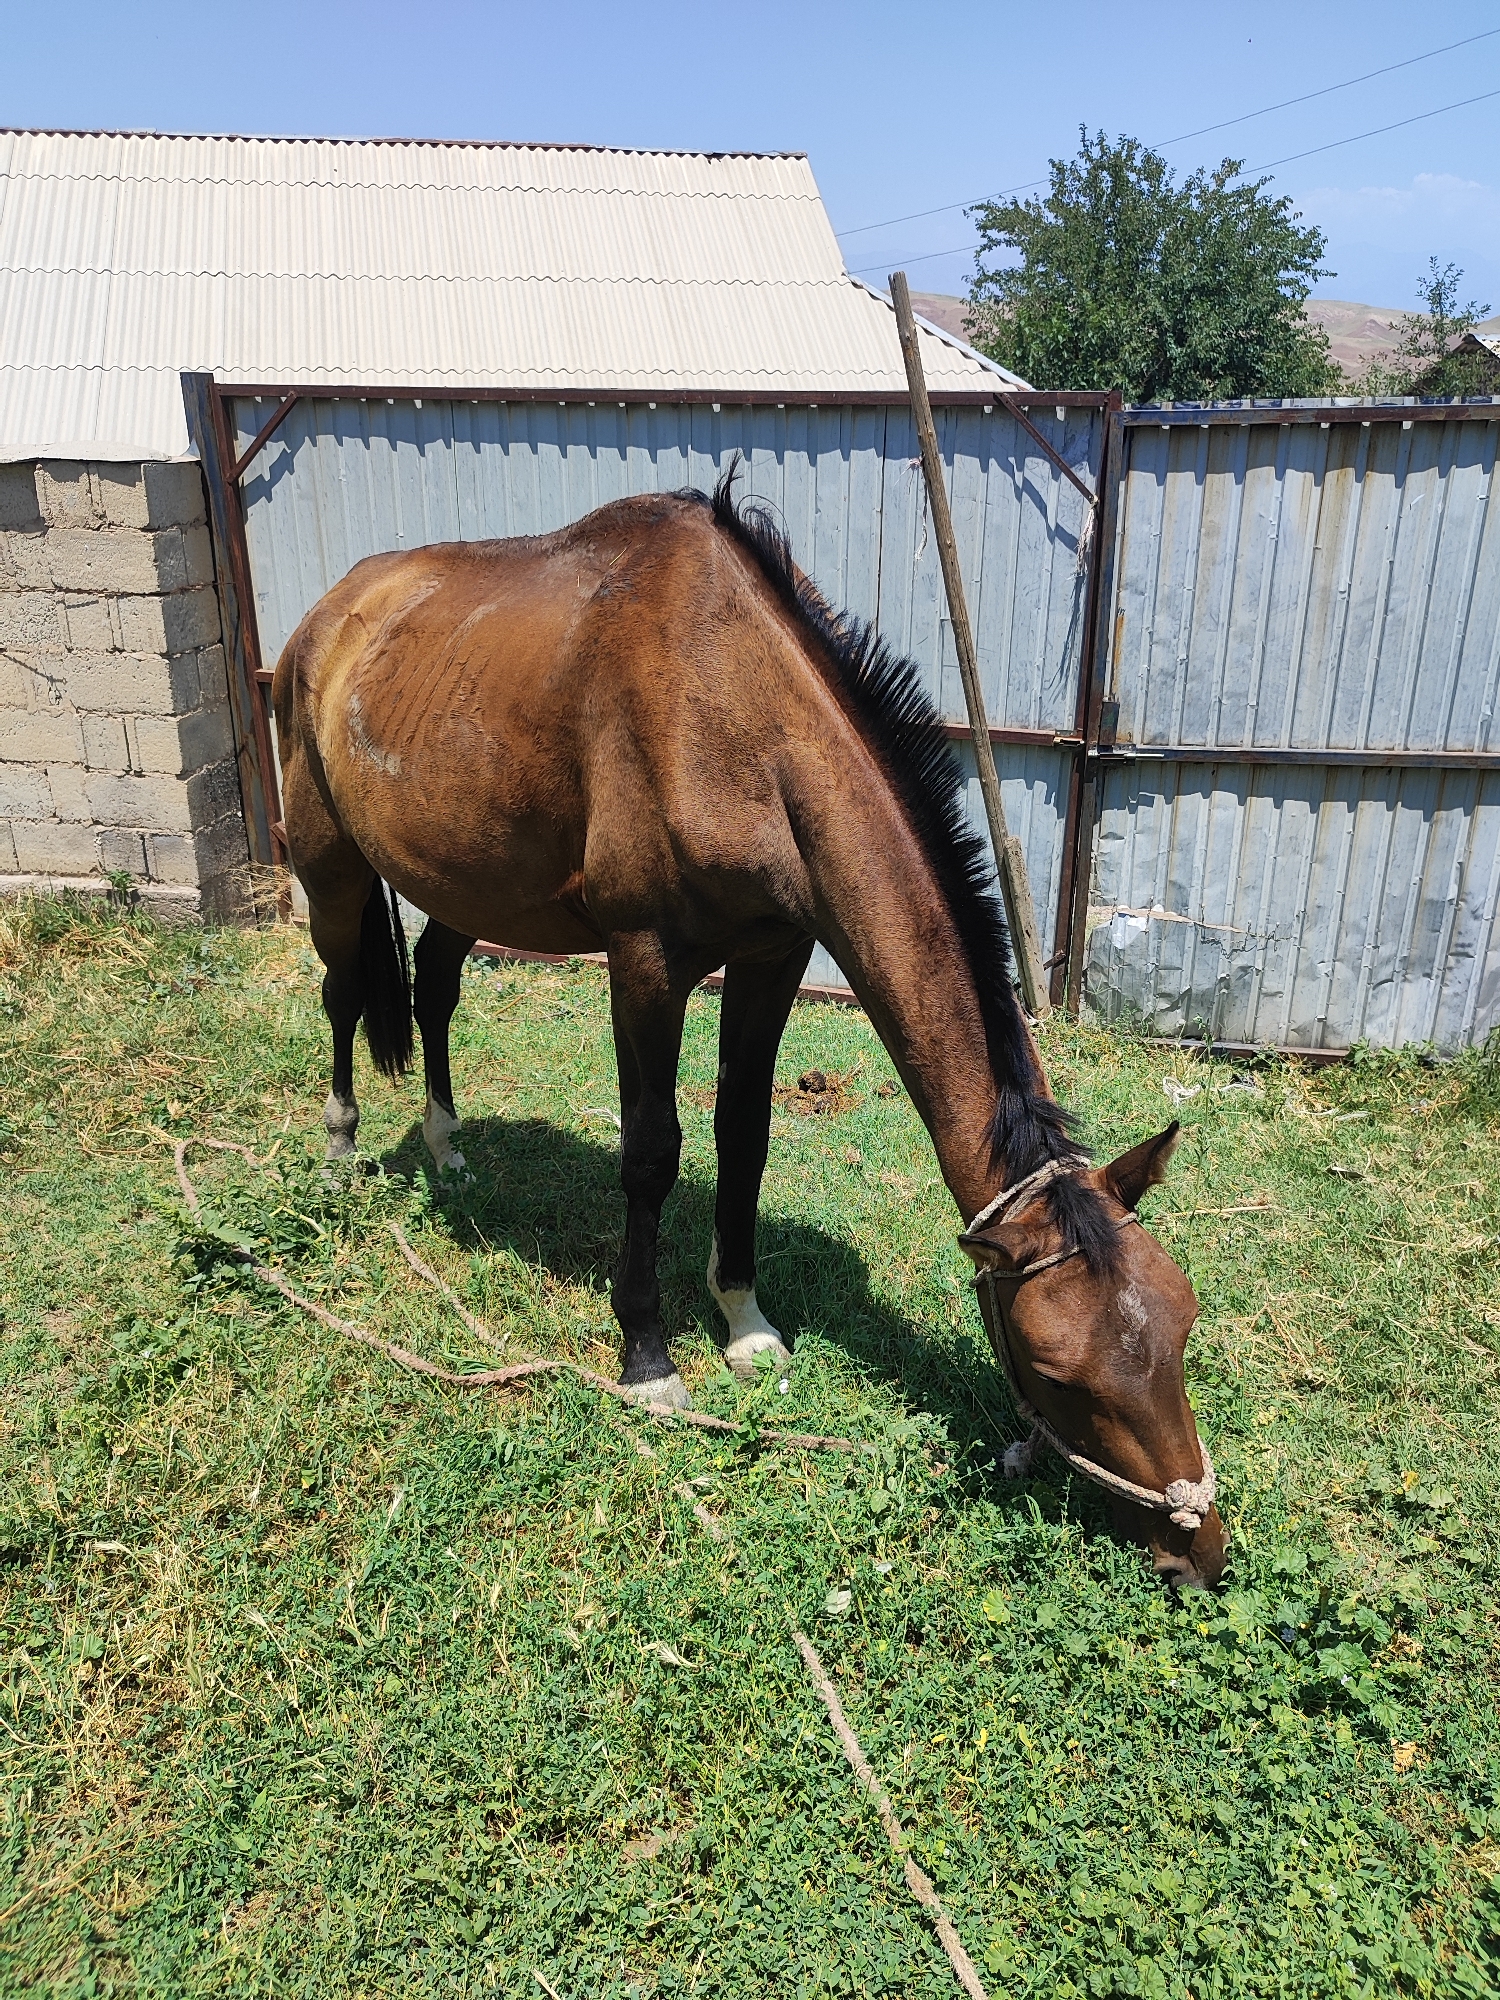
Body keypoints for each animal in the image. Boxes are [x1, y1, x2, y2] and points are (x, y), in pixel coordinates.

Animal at [272, 468, 1226, 1588]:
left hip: (465, 875)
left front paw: (742, 1319)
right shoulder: (645, 962)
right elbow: (652, 1152)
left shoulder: (775, 954)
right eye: (1056, 1371)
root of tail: (332, 612)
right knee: (343, 995)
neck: (736, 708)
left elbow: (746, 1136)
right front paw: (647, 1354)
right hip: (329, 859)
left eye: (1182, 1324)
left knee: (432, 987)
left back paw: (447, 1147)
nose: (1199, 1550)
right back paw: (341, 1149)